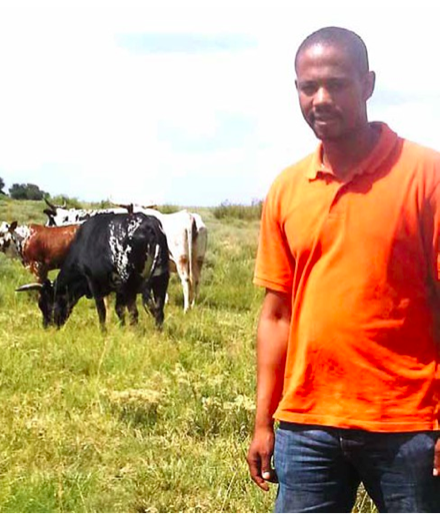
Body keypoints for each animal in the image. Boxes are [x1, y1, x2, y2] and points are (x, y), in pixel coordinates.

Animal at [16, 211, 168, 328]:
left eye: (45, 305)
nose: (46, 326)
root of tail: (149, 225)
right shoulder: (118, 288)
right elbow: (119, 310)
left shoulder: (94, 283)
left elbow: (102, 311)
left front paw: (103, 331)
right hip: (160, 281)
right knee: (158, 311)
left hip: (131, 283)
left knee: (135, 313)